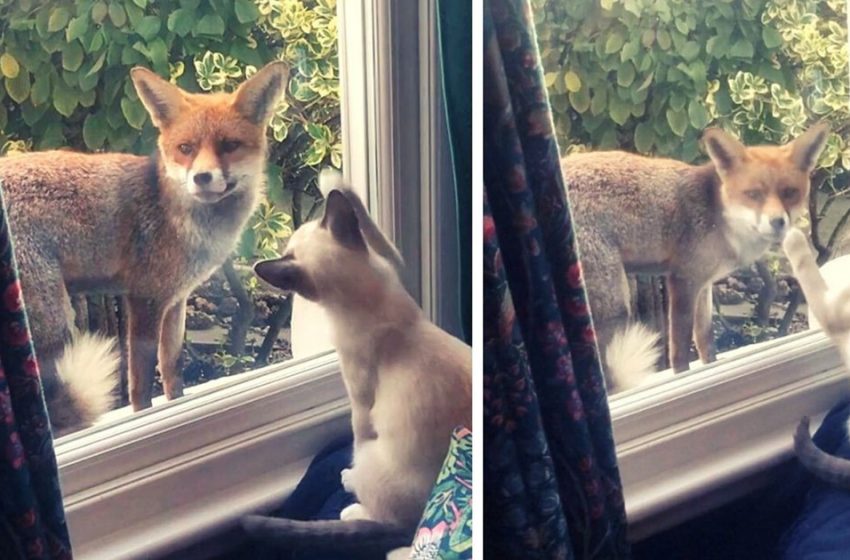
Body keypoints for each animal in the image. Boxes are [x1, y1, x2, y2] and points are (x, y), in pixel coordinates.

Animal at [0, 62, 288, 438]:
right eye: (186, 147)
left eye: (229, 145)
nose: (202, 178)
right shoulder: (144, 298)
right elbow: (140, 386)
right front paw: (145, 420)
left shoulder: (176, 300)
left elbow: (172, 370)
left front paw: (176, 407)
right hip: (53, 325)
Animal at [564, 124, 828, 392]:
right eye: (753, 194)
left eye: (790, 192)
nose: (778, 222)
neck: (721, 218)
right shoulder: (682, 279)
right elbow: (680, 348)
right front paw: (683, 379)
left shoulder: (704, 283)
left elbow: (704, 338)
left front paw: (710, 368)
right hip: (614, 302)